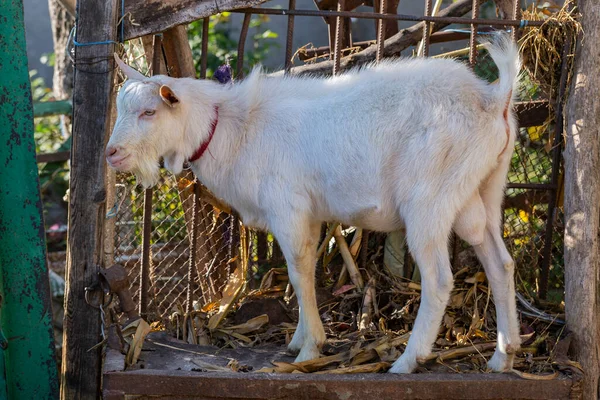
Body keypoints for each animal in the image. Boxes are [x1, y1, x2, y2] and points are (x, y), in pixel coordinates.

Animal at [106, 32, 520, 374]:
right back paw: (504, 354)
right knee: (500, 263)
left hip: (428, 199)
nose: (112, 153)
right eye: (122, 108)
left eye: (149, 111)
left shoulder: (287, 207)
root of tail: (492, 99)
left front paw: (310, 349)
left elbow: (298, 269)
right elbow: (304, 267)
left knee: (438, 279)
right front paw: (298, 340)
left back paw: (407, 360)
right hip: (483, 189)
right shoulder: (312, 214)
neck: (234, 127)